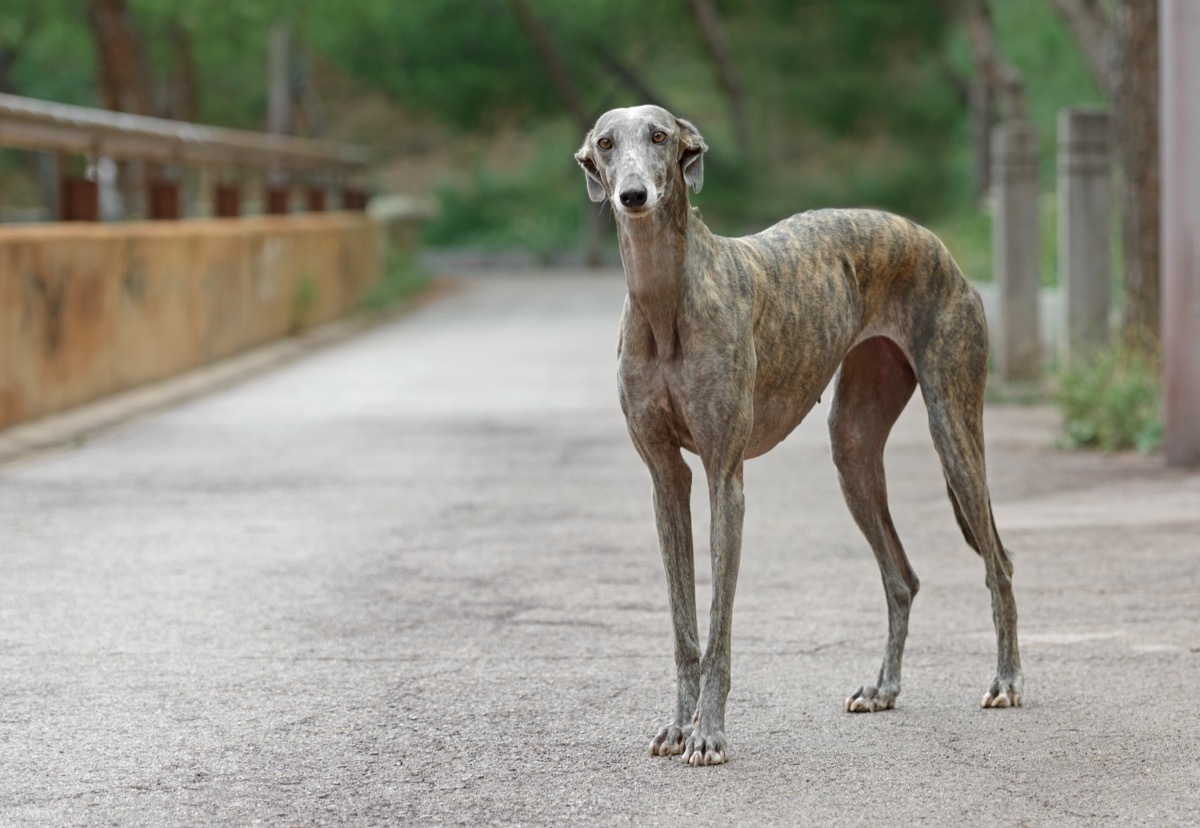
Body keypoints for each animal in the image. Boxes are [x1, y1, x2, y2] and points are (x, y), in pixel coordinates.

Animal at [576, 106, 1027, 763]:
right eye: (606, 144)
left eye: (658, 136)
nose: (633, 196)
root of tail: (934, 243)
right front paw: (680, 726)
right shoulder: (666, 481)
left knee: (998, 561)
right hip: (853, 449)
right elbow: (685, 628)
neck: (666, 304)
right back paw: (883, 687)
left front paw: (709, 734)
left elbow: (719, 628)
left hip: (954, 425)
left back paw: (1007, 679)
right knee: (902, 578)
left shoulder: (725, 476)